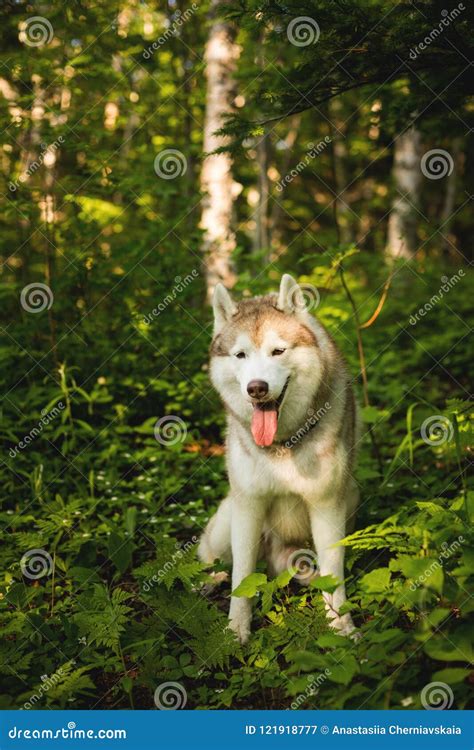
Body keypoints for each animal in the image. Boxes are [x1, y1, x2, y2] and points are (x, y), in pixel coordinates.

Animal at [199, 276, 360, 648]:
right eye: (240, 355)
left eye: (278, 351)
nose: (257, 388)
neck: (283, 443)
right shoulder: (248, 506)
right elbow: (241, 577)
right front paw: (236, 631)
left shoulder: (327, 505)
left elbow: (334, 574)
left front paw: (341, 628)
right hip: (227, 520)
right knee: (211, 556)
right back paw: (206, 578)